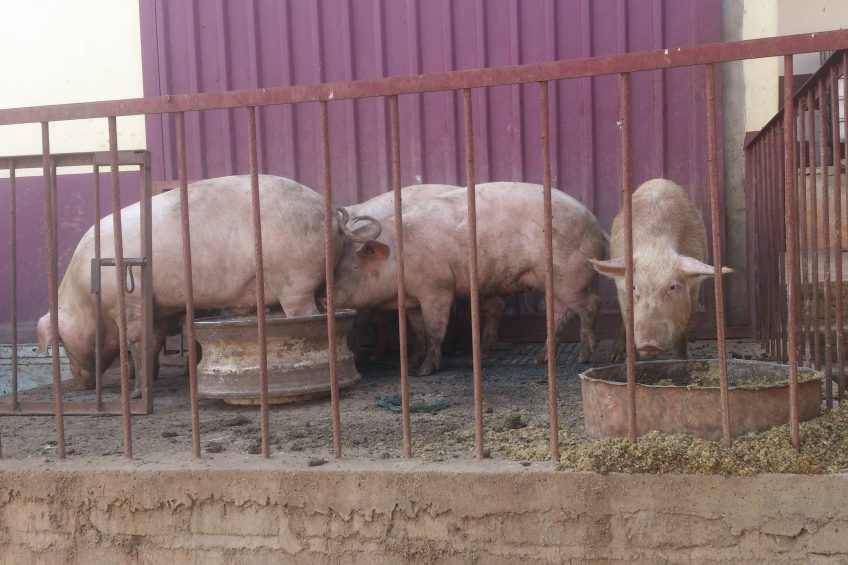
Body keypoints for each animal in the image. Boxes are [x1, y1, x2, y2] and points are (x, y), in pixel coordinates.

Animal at [35, 175, 374, 392]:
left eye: (61, 343)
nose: (80, 386)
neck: (86, 294)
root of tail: (330, 211)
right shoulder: (158, 308)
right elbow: (151, 344)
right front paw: (149, 382)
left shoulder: (128, 302)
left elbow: (135, 342)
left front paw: (134, 393)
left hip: (295, 278)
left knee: (305, 315)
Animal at [330, 181, 604, 374]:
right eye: (339, 264)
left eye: (355, 267)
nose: (324, 298)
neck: (400, 254)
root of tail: (597, 225)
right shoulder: (412, 300)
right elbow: (418, 330)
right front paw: (412, 363)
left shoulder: (437, 288)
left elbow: (433, 330)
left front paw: (423, 372)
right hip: (552, 283)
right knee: (556, 314)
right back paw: (537, 358)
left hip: (567, 278)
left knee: (590, 304)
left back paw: (583, 357)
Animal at [588, 178, 732, 360]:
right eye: (634, 287)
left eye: (673, 287)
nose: (649, 344)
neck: (656, 248)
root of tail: (658, 180)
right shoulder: (623, 292)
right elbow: (628, 322)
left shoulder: (693, 290)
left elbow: (682, 334)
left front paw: (683, 360)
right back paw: (614, 357)